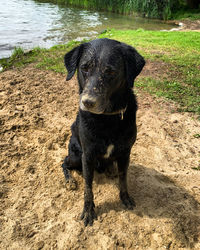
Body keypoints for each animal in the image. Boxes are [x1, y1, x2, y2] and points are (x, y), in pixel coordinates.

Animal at [61, 37, 145, 227]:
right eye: (84, 68)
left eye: (110, 71)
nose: (87, 102)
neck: (107, 119)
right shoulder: (87, 155)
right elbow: (88, 188)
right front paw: (88, 211)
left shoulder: (125, 152)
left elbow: (123, 178)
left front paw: (125, 197)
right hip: (76, 155)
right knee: (64, 162)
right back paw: (70, 180)